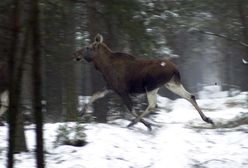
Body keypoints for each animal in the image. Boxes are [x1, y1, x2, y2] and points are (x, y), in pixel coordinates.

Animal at [73, 34, 213, 131]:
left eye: (88, 47)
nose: (75, 53)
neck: (103, 67)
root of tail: (175, 69)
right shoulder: (110, 87)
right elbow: (95, 95)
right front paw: (81, 112)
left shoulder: (122, 90)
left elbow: (131, 109)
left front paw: (146, 124)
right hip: (171, 84)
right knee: (190, 96)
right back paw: (207, 119)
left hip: (151, 86)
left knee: (152, 105)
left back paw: (134, 123)